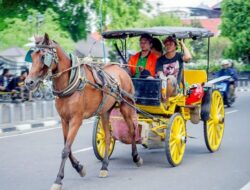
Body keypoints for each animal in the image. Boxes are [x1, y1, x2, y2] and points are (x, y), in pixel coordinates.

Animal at [25, 33, 143, 189]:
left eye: (43, 56)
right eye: (32, 56)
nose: (28, 82)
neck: (70, 82)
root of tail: (123, 70)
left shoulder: (76, 120)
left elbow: (65, 149)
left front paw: (58, 179)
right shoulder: (64, 120)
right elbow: (67, 147)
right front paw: (79, 168)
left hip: (126, 106)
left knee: (131, 130)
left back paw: (136, 157)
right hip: (104, 111)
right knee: (107, 136)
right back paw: (104, 166)